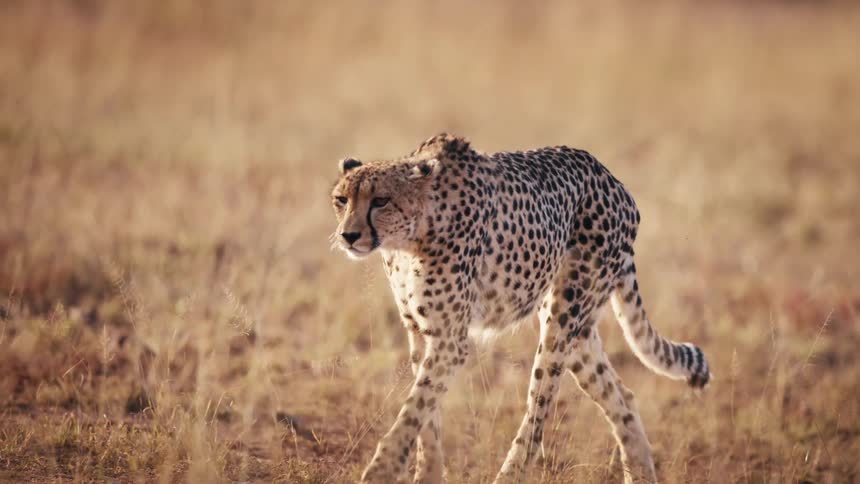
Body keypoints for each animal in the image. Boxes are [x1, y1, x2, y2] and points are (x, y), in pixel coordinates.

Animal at [329, 133, 710, 484]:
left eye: (381, 200)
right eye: (341, 200)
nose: (349, 235)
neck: (409, 239)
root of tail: (613, 181)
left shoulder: (450, 340)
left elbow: (415, 408)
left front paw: (382, 470)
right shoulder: (421, 333)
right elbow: (426, 417)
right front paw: (428, 473)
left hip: (561, 320)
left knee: (538, 419)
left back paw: (509, 474)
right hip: (578, 333)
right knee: (623, 399)